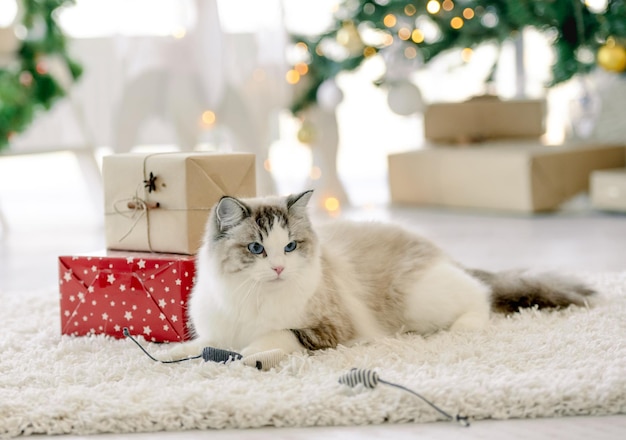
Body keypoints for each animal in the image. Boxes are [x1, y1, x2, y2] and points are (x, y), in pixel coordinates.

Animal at [168, 192, 592, 360]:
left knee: (480, 296)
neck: (251, 297)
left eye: (289, 247)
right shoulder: (217, 330)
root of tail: (437, 250)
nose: (278, 268)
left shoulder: (326, 329)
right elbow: (200, 346)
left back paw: (465, 328)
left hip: (422, 301)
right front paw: (170, 356)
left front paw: (248, 354)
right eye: (257, 249)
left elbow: (270, 339)